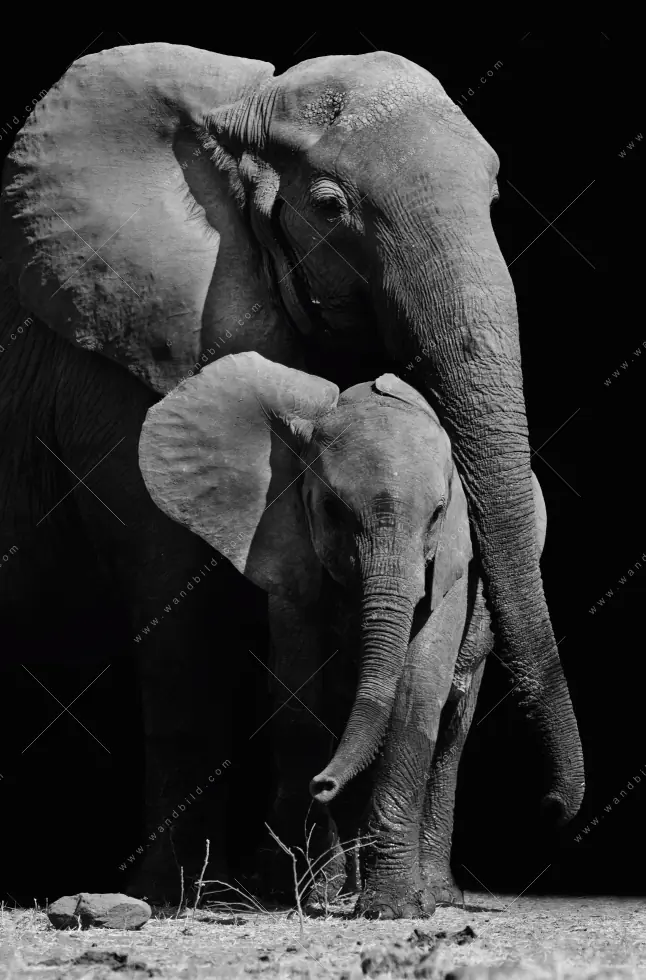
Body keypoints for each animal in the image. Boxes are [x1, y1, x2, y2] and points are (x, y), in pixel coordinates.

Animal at [138, 350, 548, 918]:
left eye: (439, 514)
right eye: (332, 510)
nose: (323, 783)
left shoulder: (456, 565)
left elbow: (416, 696)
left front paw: (395, 908)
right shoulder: (287, 553)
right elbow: (300, 699)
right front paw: (317, 894)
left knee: (452, 727)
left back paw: (435, 892)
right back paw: (341, 885)